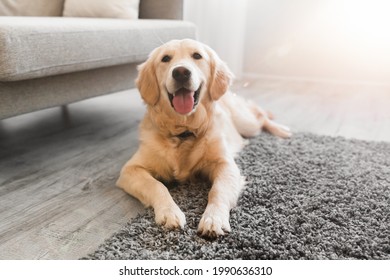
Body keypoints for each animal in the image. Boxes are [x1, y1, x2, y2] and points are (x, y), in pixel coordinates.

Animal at [117, 38, 290, 237]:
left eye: (197, 56)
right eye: (165, 58)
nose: (181, 72)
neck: (184, 132)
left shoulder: (225, 165)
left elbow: (217, 191)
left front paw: (213, 219)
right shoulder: (131, 169)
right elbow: (157, 186)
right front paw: (169, 212)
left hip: (247, 123)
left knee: (261, 116)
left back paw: (282, 129)